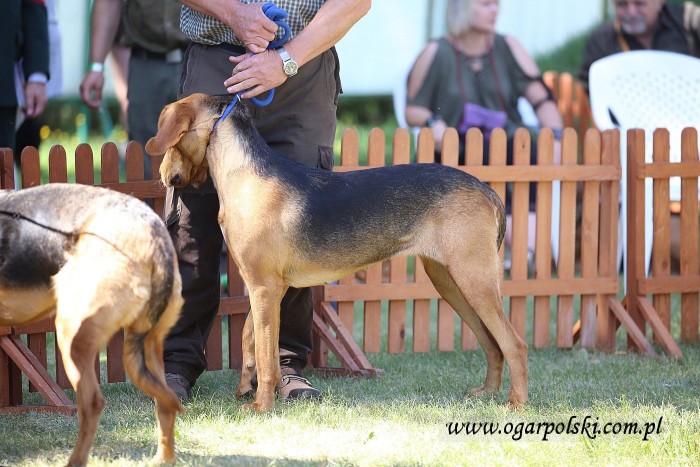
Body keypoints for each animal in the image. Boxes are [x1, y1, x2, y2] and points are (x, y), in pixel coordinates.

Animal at [0, 185, 183, 466]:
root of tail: (153, 234)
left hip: (71, 337)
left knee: (92, 403)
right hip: (146, 347)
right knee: (163, 403)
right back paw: (163, 460)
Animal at [149, 91, 532, 410]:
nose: (163, 175)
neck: (242, 172)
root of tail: (486, 189)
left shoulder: (264, 287)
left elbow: (267, 355)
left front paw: (261, 406)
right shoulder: (265, 288)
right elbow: (250, 339)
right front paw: (246, 388)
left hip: (473, 280)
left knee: (514, 343)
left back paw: (516, 403)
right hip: (450, 283)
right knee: (492, 344)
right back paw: (487, 393)